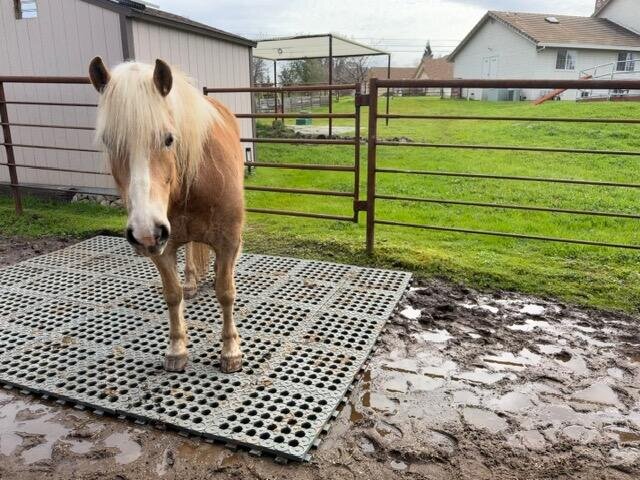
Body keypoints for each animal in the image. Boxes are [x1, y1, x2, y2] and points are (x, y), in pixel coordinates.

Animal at [89, 57, 244, 373]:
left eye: (169, 139)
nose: (145, 230)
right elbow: (173, 295)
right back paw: (192, 281)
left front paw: (230, 351)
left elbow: (226, 293)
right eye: (109, 142)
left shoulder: (228, 242)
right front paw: (176, 349)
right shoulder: (163, 248)